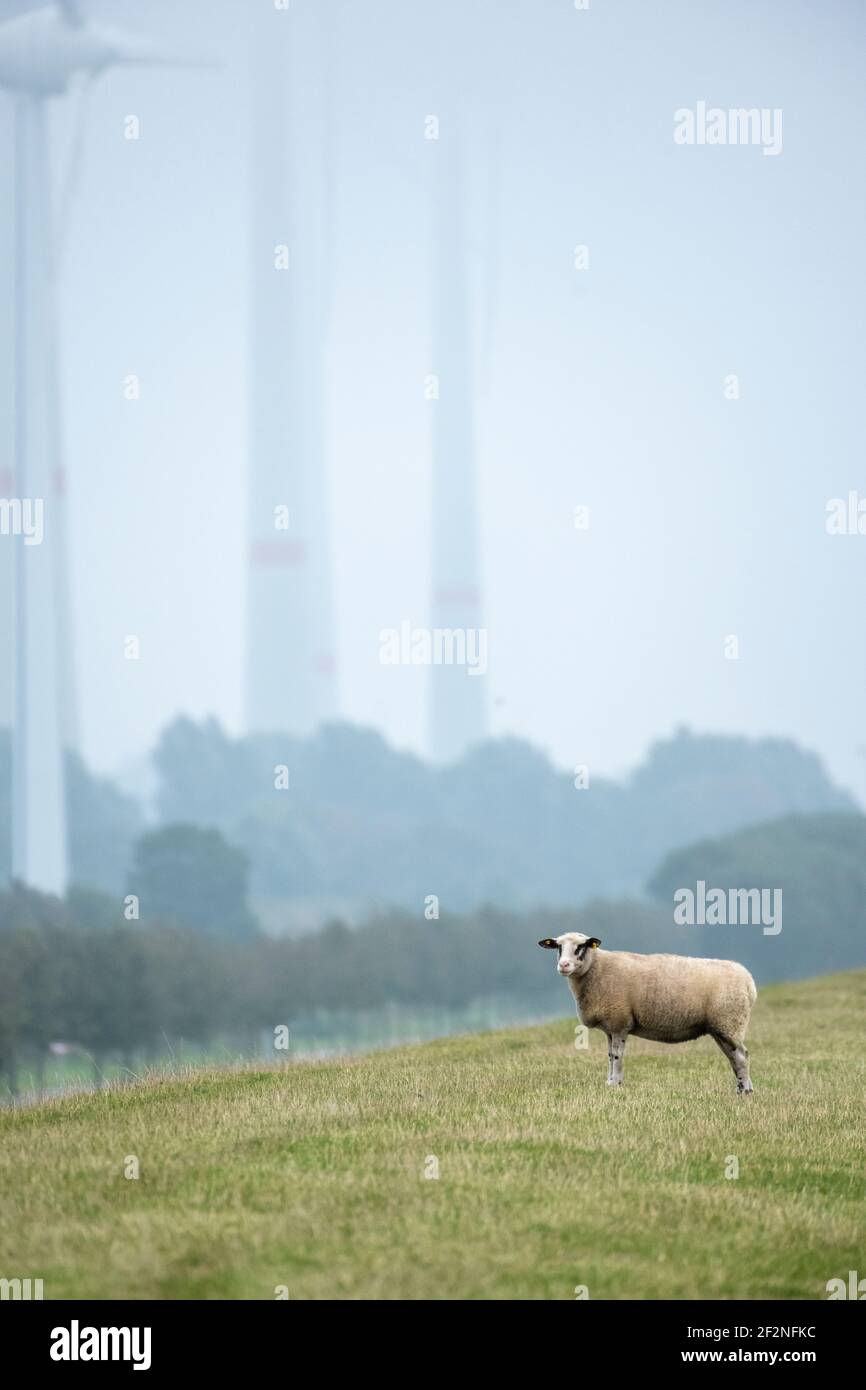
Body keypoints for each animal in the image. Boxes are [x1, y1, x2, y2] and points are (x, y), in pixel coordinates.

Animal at [538, 932, 757, 1093]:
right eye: (558, 947)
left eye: (580, 947)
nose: (563, 965)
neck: (597, 969)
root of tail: (749, 981)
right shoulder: (610, 1026)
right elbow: (609, 1055)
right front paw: (609, 1082)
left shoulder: (620, 1021)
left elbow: (616, 1056)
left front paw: (615, 1084)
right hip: (721, 1027)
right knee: (734, 1057)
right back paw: (742, 1089)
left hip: (730, 1021)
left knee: (742, 1056)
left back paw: (745, 1091)